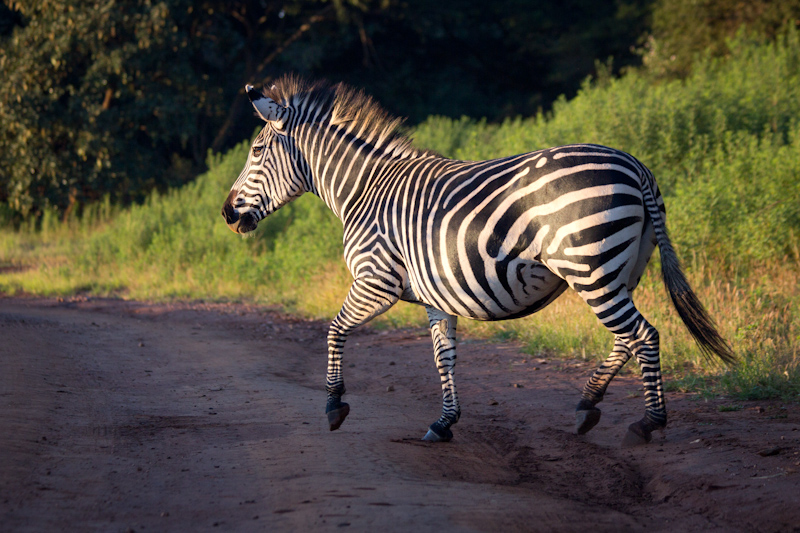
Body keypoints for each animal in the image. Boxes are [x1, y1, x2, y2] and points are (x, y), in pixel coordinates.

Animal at [222, 76, 736, 444]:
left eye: (256, 150)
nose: (226, 214)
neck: (363, 191)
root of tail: (636, 166)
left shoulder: (375, 279)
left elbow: (334, 329)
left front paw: (333, 405)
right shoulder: (435, 295)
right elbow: (443, 356)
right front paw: (444, 422)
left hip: (591, 267)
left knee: (643, 335)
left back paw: (649, 422)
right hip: (618, 271)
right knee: (627, 338)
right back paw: (588, 405)